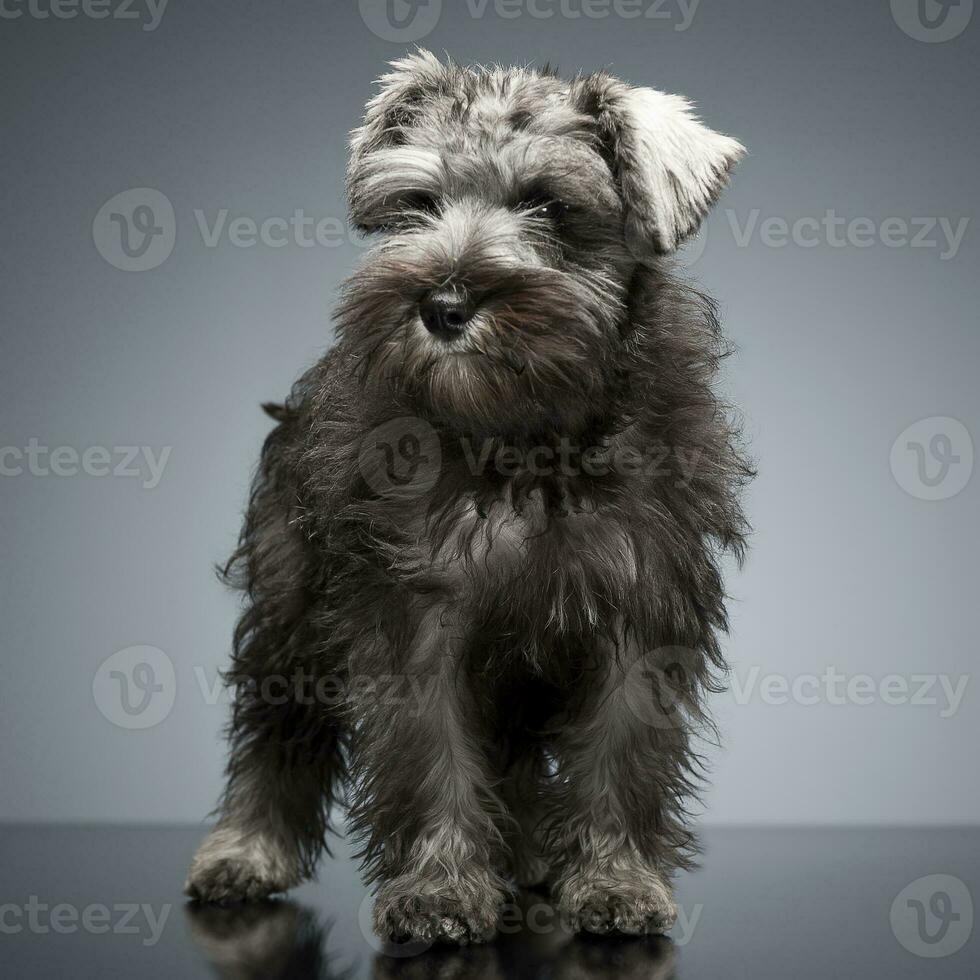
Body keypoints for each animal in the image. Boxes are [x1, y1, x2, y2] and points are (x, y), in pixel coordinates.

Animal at [186, 49, 752, 944]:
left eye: (549, 206)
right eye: (417, 204)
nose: (444, 304)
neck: (526, 435)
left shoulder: (638, 611)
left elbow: (619, 754)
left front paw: (614, 881)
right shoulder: (419, 617)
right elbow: (434, 758)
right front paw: (440, 891)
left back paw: (528, 860)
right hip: (291, 615)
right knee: (277, 734)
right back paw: (246, 850)